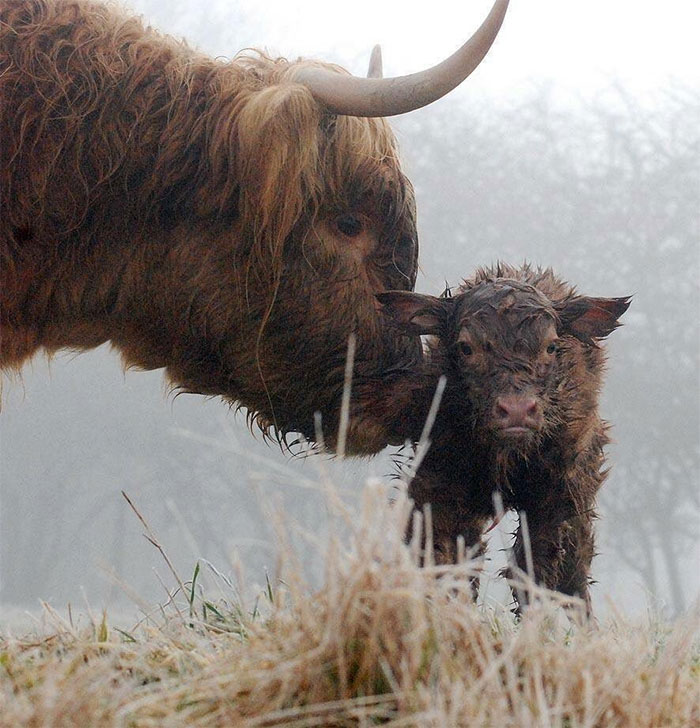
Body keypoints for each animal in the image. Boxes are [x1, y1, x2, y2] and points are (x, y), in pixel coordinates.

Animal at [378, 263, 630, 614]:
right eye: (466, 347)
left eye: (551, 346)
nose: (516, 410)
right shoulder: (435, 488)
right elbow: (444, 563)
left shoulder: (552, 497)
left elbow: (533, 573)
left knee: (575, 580)